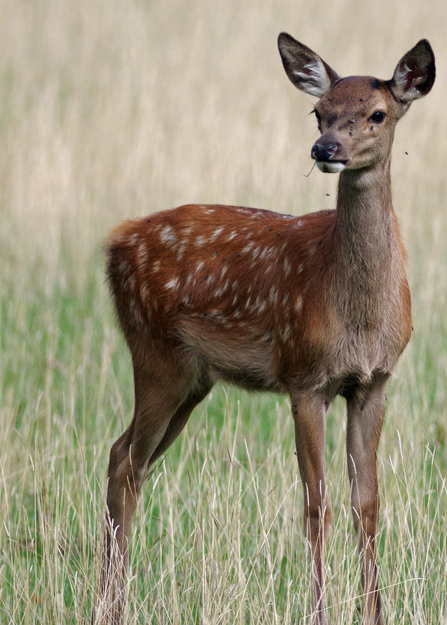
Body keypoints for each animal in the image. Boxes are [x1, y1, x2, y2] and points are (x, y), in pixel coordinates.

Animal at [93, 33, 434, 624]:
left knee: (125, 457)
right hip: (155, 354)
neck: (359, 316)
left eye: (378, 113)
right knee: (125, 464)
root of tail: (115, 243)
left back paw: (113, 600)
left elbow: (366, 502)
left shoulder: (373, 381)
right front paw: (319, 611)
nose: (324, 148)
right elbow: (316, 503)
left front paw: (375, 612)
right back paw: (113, 603)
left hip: (193, 380)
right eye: (319, 112)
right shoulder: (304, 376)